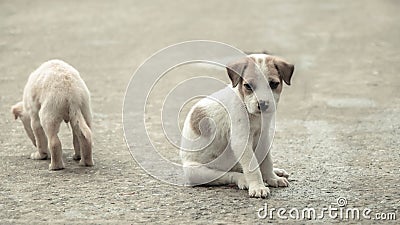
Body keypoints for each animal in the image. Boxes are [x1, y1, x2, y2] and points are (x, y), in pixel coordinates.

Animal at [180, 53, 294, 198]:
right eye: (248, 86)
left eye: (273, 84)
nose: (263, 104)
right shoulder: (241, 141)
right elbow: (253, 168)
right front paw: (258, 187)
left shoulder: (263, 138)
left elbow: (267, 161)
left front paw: (272, 177)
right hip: (197, 172)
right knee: (229, 175)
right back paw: (243, 180)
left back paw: (277, 171)